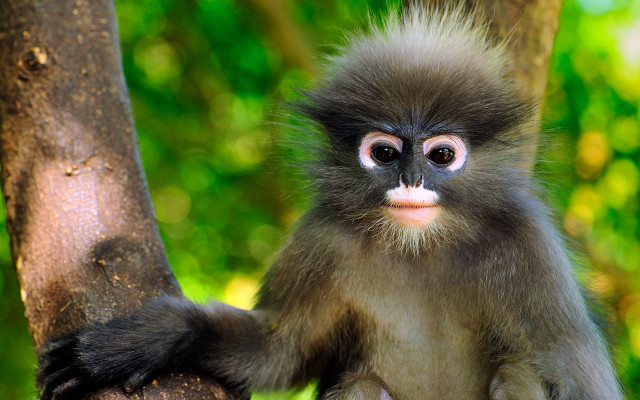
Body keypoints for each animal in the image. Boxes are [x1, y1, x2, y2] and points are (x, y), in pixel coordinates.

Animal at [37, 6, 622, 400]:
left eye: (441, 155)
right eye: (384, 152)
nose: (411, 180)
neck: (419, 247)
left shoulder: (529, 246)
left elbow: (579, 377)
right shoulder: (319, 239)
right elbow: (277, 352)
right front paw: (149, 339)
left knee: (518, 371)